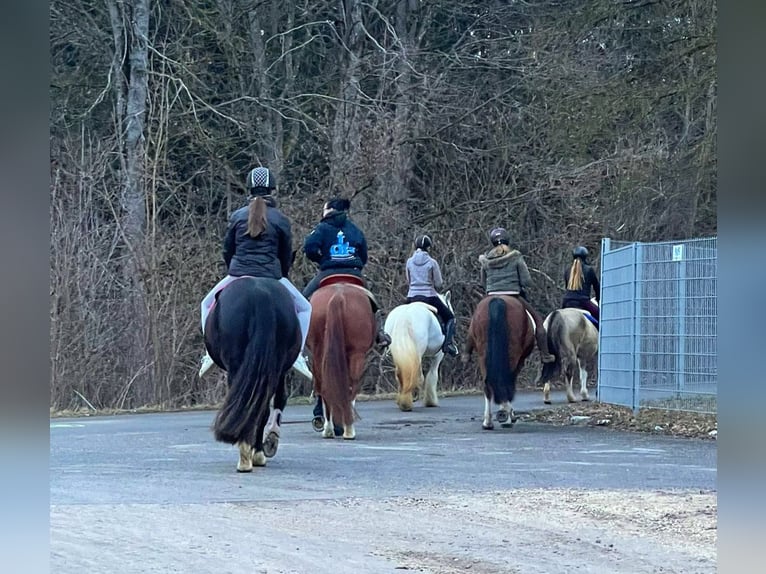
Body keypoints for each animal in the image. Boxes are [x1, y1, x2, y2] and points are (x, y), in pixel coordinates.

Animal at [305, 276, 376, 440]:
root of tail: (338, 296)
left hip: (319, 352)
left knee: (324, 385)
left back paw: (331, 429)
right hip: (357, 355)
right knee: (351, 386)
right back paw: (347, 428)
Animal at [463, 295, 536, 430]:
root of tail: (497, 299)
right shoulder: (520, 360)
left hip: (483, 354)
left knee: (487, 385)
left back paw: (488, 422)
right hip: (513, 352)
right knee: (505, 380)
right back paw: (506, 418)